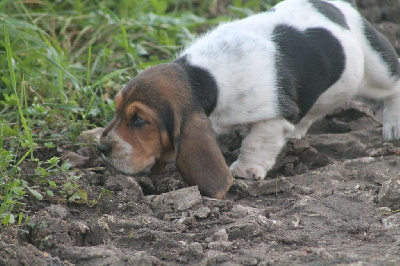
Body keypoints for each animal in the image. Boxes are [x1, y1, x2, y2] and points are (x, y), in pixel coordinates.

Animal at [97, 0, 400, 200]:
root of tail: (338, 6)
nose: (101, 148)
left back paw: (393, 127)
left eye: (139, 120)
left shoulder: (274, 116)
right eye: (116, 109)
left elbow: (257, 143)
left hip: (375, 68)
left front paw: (246, 169)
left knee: (393, 85)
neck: (203, 77)